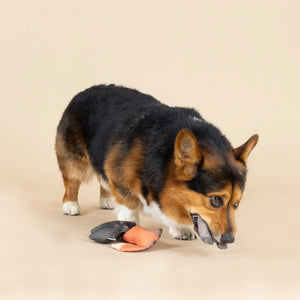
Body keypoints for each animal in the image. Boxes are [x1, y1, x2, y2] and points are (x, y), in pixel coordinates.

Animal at [55, 84, 258, 248]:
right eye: (215, 200)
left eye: (236, 204)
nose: (229, 239)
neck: (164, 159)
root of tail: (85, 91)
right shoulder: (122, 179)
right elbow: (130, 208)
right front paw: (131, 230)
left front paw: (180, 230)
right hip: (74, 163)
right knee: (72, 182)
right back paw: (71, 205)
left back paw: (107, 200)